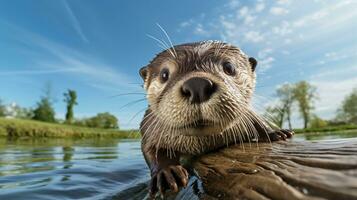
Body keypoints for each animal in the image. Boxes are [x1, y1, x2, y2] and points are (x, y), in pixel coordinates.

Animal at [139, 40, 292, 197]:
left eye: (229, 67)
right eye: (164, 74)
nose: (197, 85)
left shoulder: (247, 115)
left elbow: (257, 119)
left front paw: (275, 132)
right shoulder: (149, 126)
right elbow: (149, 148)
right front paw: (166, 172)